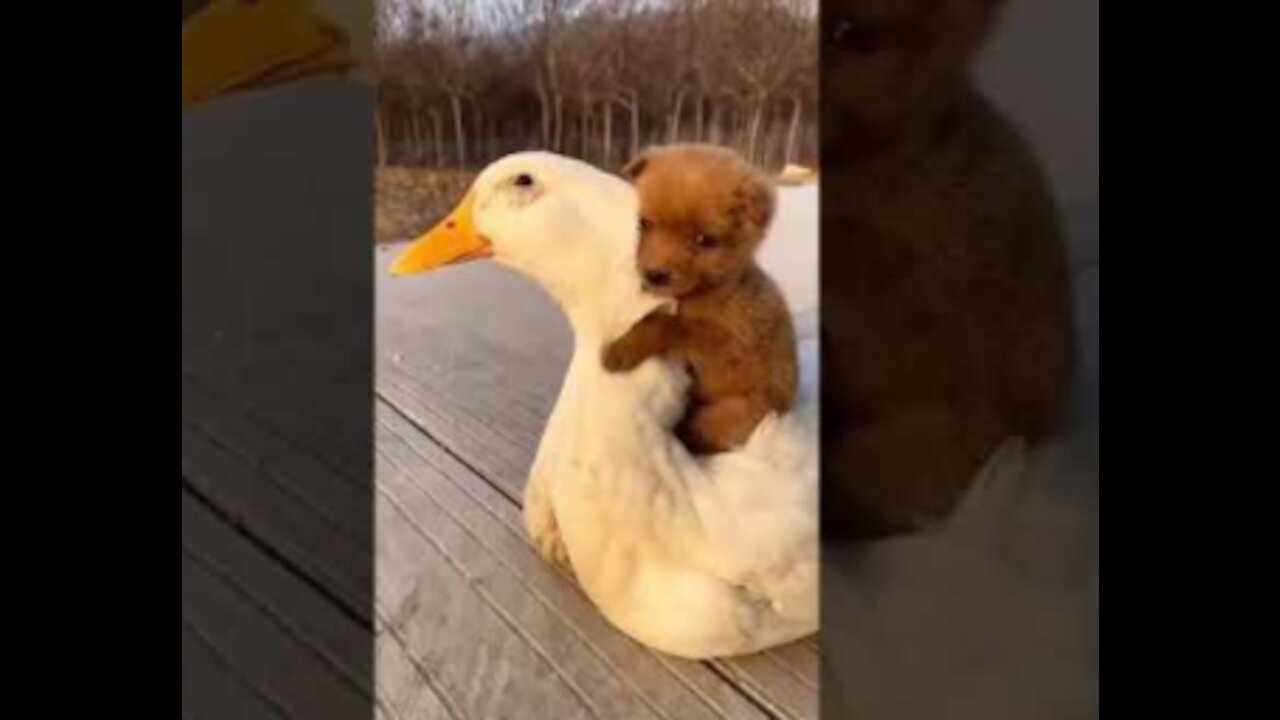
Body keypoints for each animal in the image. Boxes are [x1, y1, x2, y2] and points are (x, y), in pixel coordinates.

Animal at [601, 142, 798, 450]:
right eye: (644, 224)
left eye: (704, 240)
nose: (654, 275)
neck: (713, 289)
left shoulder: (732, 348)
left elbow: (670, 323)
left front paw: (621, 350)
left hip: (738, 412)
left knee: (704, 431)